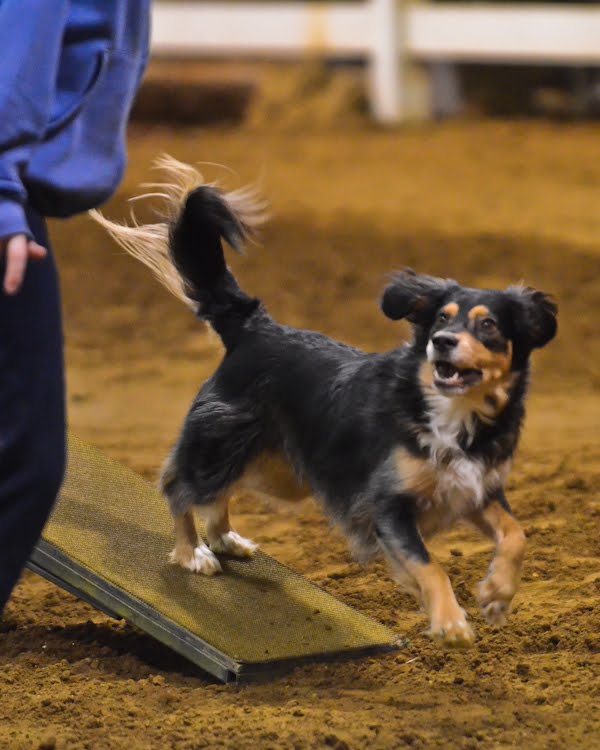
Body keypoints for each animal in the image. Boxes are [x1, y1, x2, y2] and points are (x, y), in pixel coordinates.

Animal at [93, 157, 557, 646]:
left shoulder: (476, 487)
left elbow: (516, 533)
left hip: (274, 467)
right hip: (224, 441)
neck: (449, 413)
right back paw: (193, 552)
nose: (442, 342)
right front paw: (450, 623)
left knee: (220, 489)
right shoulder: (388, 506)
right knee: (178, 485)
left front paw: (497, 593)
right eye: (439, 321)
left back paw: (224, 538)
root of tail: (255, 327)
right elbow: (431, 566)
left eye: (488, 326)